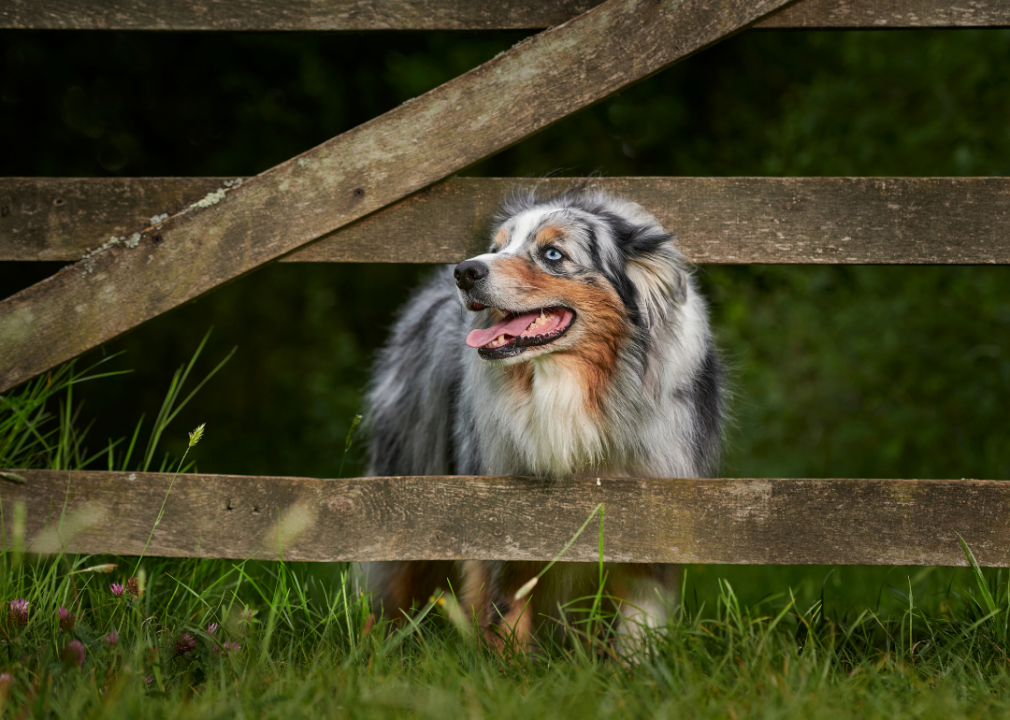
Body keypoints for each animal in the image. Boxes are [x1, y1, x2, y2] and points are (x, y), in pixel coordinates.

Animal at [359, 187, 723, 650]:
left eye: (553, 254)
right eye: (497, 247)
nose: (464, 271)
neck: (568, 386)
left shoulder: (650, 516)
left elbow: (639, 625)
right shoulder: (504, 523)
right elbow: (506, 617)